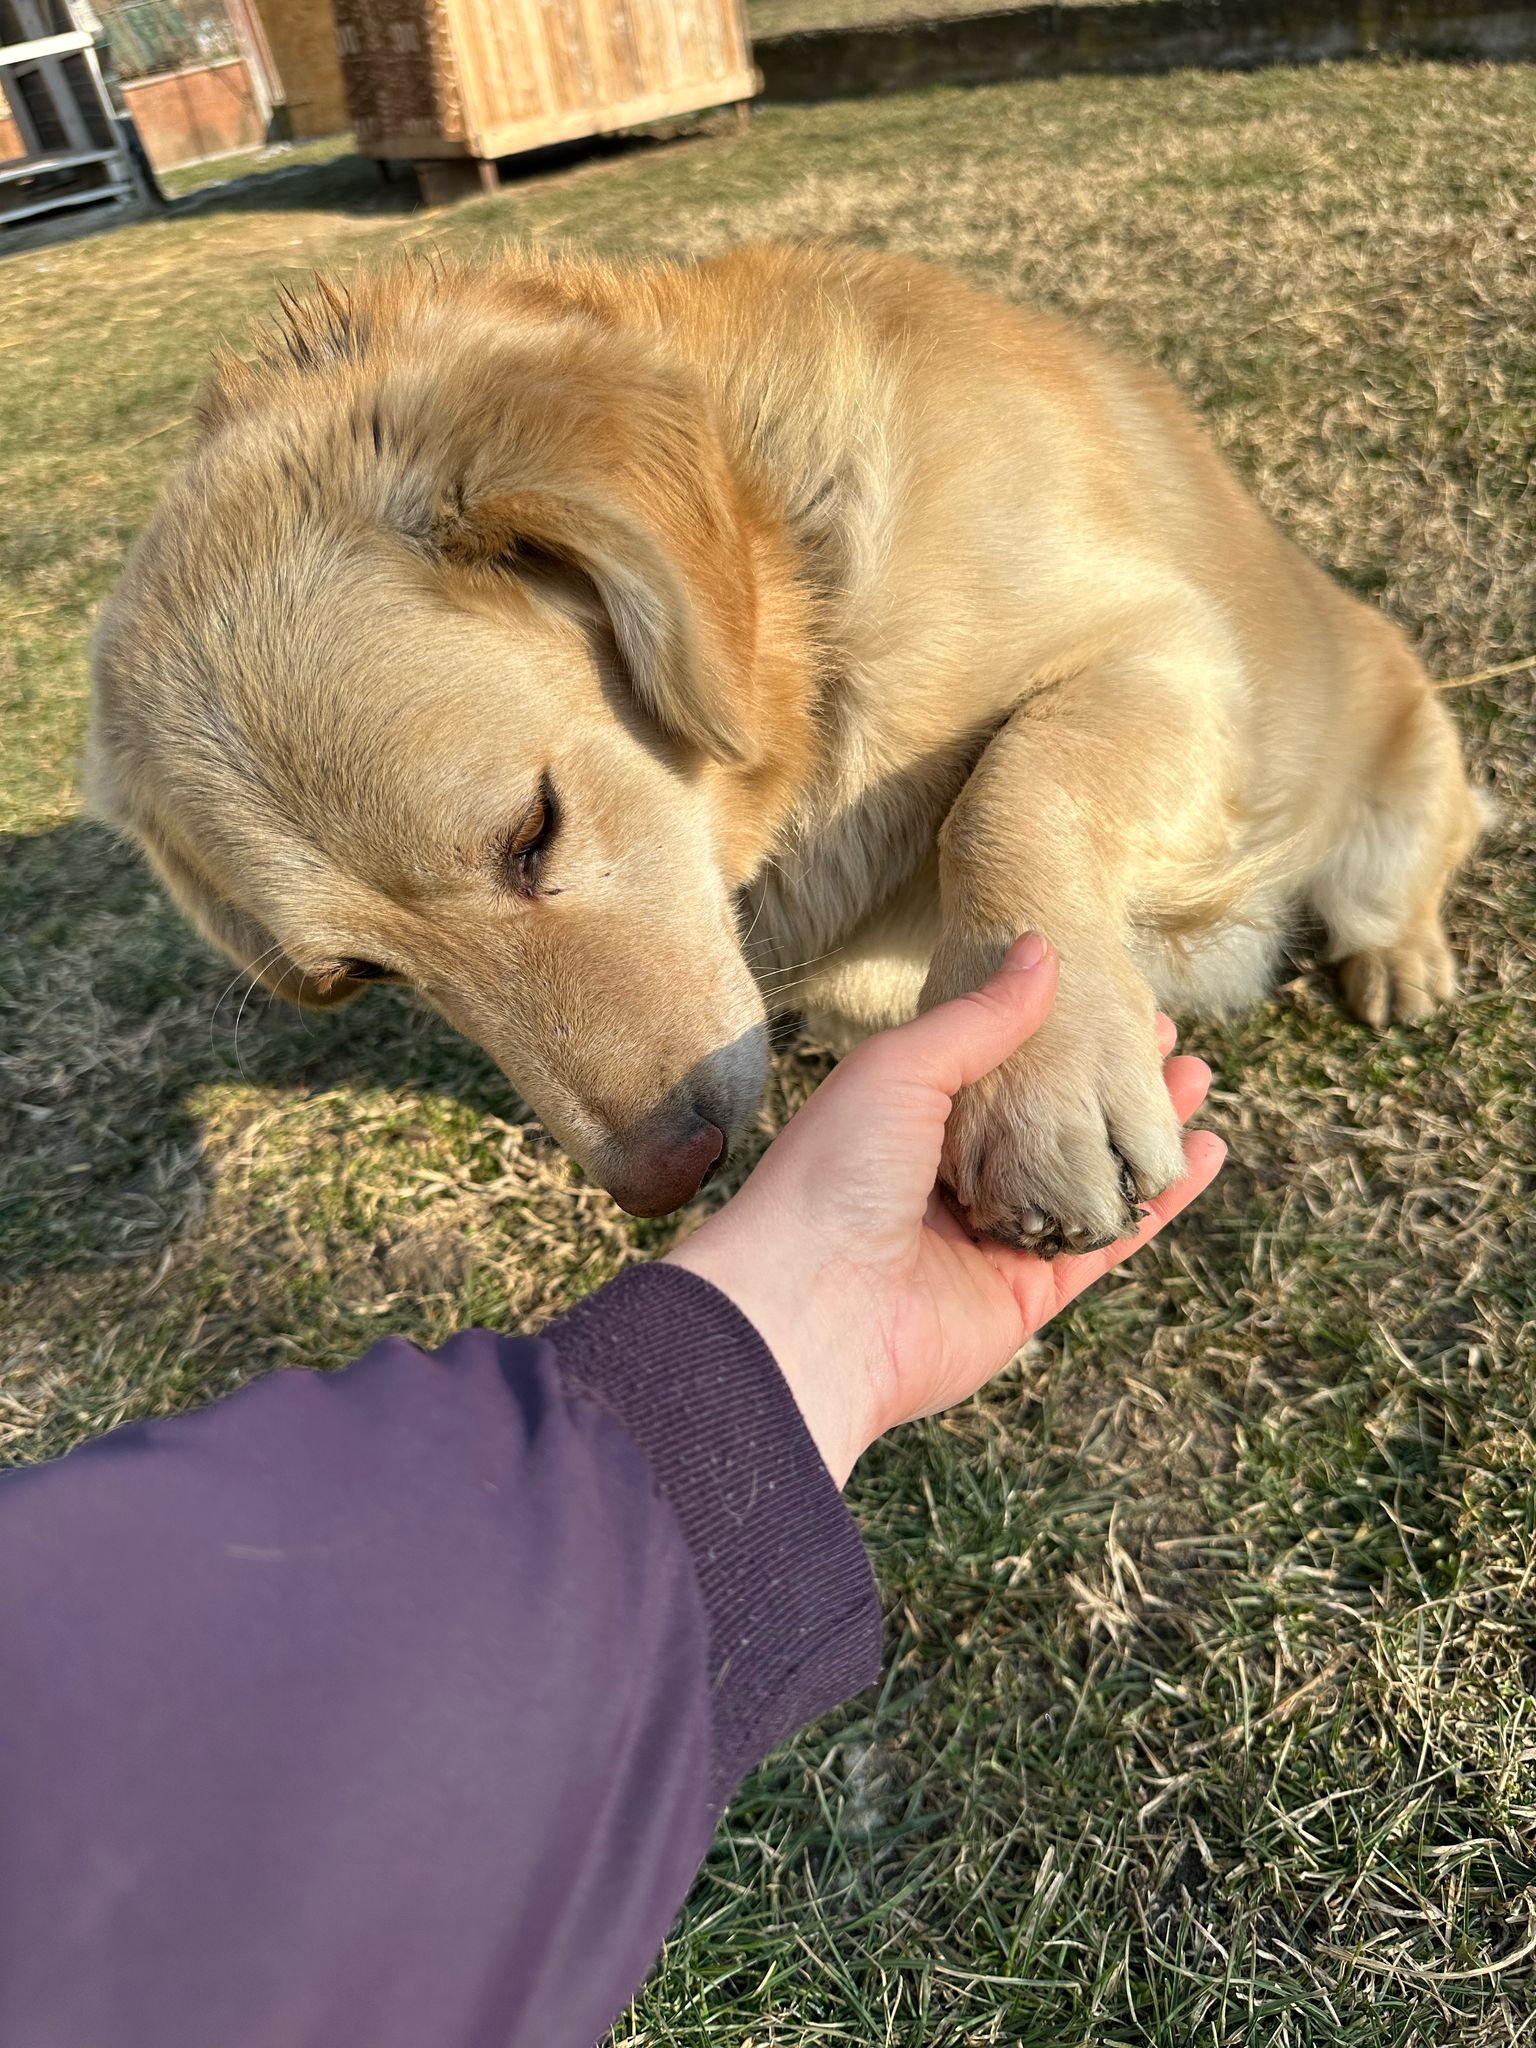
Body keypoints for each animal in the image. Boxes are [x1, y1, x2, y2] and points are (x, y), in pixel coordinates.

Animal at [87, 244, 1484, 1252]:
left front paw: (1035, 1077)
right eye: (364, 974)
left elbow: (1008, 786)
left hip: (1400, 759)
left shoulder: (1168, 651)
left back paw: (1396, 959)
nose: (664, 1181)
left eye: (535, 829)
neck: (804, 610)